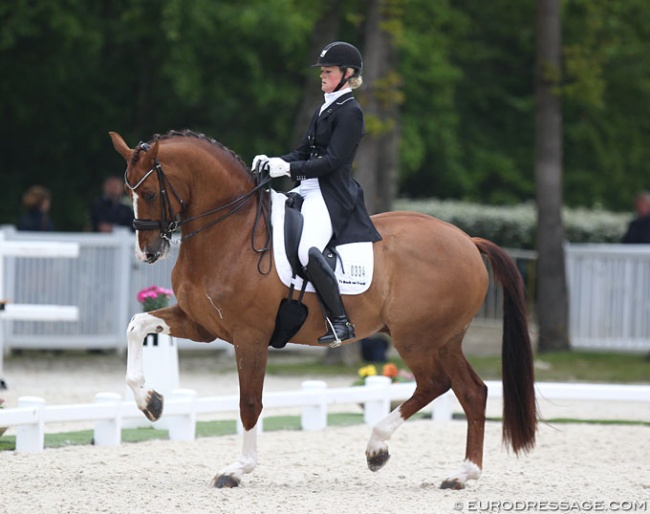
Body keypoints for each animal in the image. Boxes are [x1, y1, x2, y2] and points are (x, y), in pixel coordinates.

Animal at [109, 128, 536, 488]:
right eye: (129, 192)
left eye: (150, 194)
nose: (148, 253)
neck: (231, 232)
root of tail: (468, 241)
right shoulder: (201, 325)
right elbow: (136, 325)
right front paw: (151, 403)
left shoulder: (250, 337)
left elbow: (250, 402)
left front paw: (237, 469)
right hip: (445, 340)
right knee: (472, 391)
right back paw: (462, 475)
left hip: (417, 338)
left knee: (435, 384)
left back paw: (377, 448)